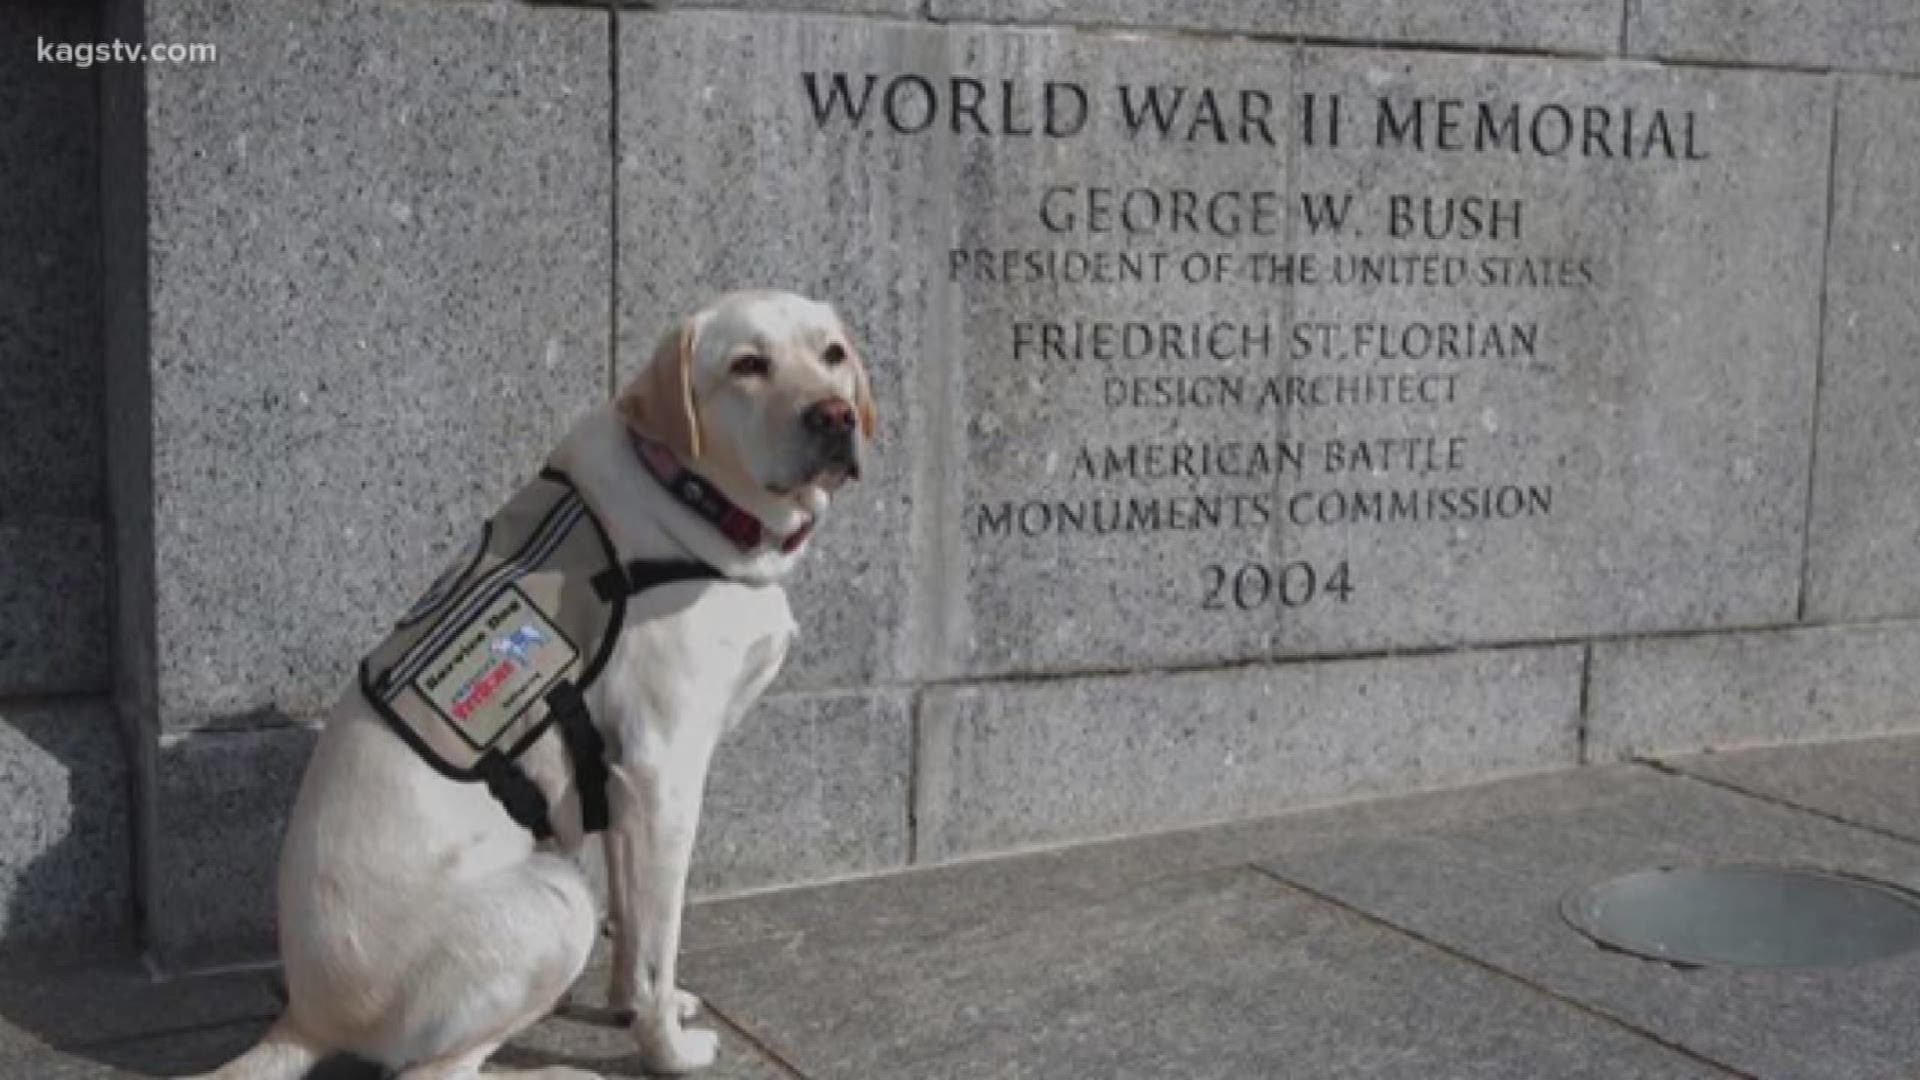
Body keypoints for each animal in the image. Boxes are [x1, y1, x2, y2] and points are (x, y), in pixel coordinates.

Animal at [194, 288, 879, 1076]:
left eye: (833, 353)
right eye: (748, 365)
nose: (836, 415)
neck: (691, 496)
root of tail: (305, 1014)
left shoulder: (621, 784)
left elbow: (636, 931)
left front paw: (633, 1008)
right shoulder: (663, 773)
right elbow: (660, 940)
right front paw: (667, 1049)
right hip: (556, 896)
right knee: (432, 1070)